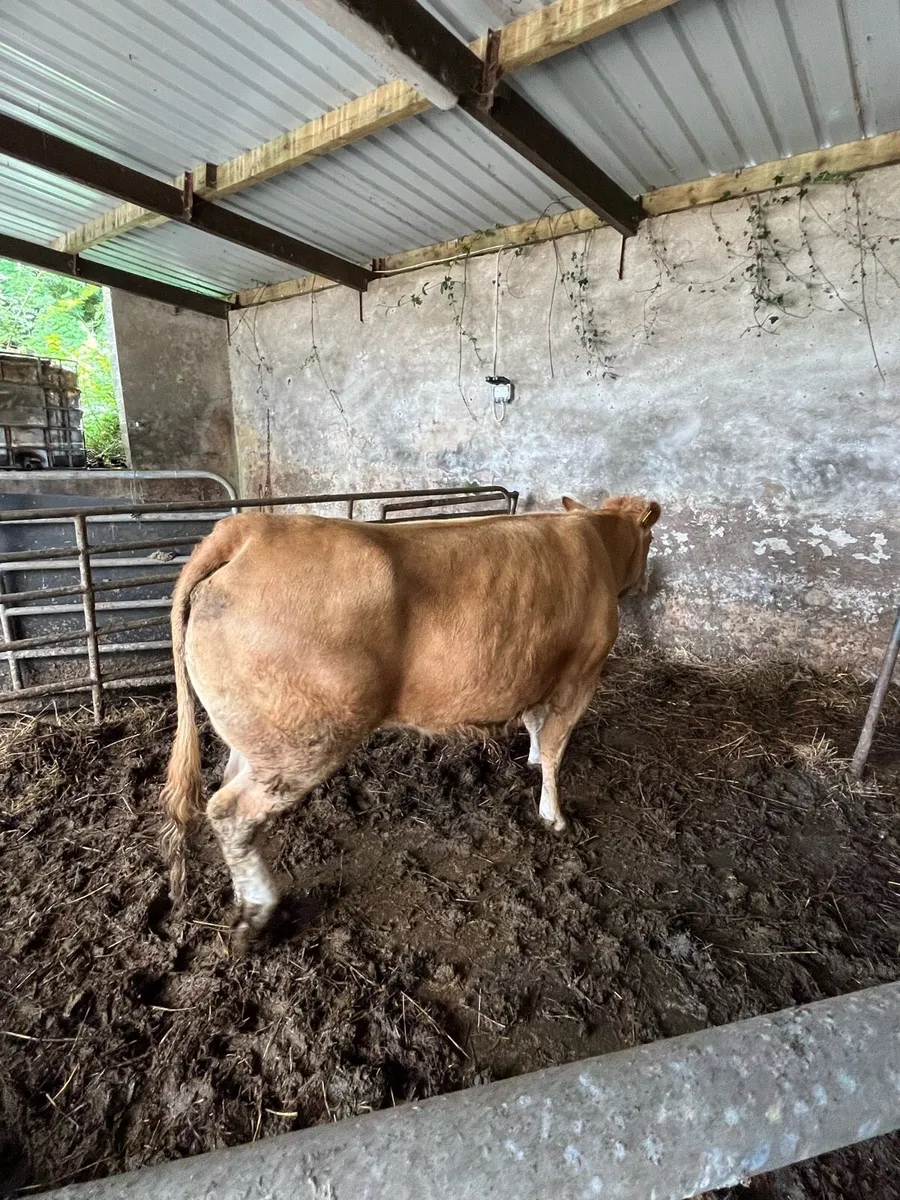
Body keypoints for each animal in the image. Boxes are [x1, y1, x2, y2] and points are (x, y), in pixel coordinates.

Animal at [161, 494, 661, 948]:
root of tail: (250, 530)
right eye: (652, 539)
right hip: (303, 740)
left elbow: (539, 729)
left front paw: (534, 760)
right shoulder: (581, 674)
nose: (646, 585)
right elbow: (557, 746)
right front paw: (555, 817)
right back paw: (257, 916)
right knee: (230, 811)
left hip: (257, 736)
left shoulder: (543, 676)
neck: (595, 538)